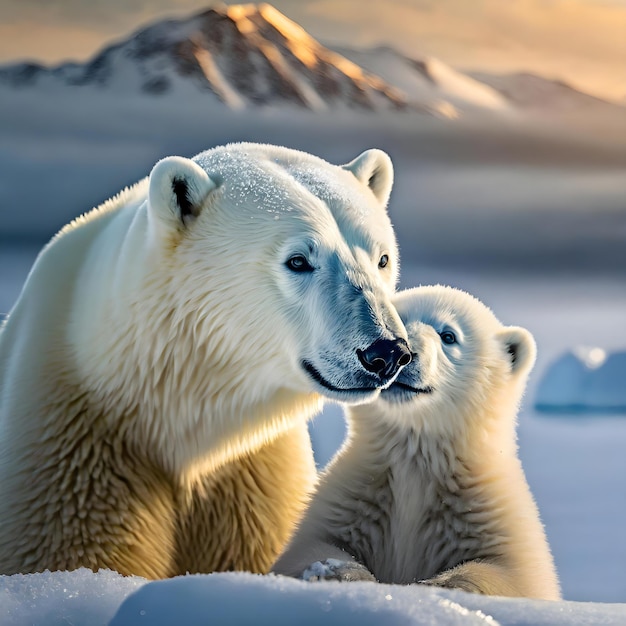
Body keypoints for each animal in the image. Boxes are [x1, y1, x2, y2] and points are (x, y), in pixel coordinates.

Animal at [274, 286, 560, 596]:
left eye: (448, 336)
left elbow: (511, 575)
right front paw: (338, 572)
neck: (416, 457)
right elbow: (310, 547)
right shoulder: (355, 499)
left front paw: (436, 586)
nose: (399, 353)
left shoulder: (486, 511)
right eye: (393, 321)